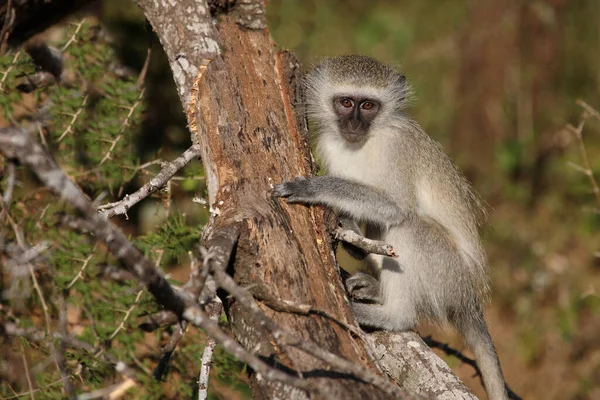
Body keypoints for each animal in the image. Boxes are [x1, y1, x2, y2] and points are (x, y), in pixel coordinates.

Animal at [274, 54, 508, 400]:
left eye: (369, 106)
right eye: (346, 102)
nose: (355, 124)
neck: (364, 142)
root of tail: (469, 297)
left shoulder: (395, 146)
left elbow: (396, 207)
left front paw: (312, 188)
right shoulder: (330, 146)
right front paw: (348, 232)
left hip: (447, 273)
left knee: (406, 228)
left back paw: (390, 315)